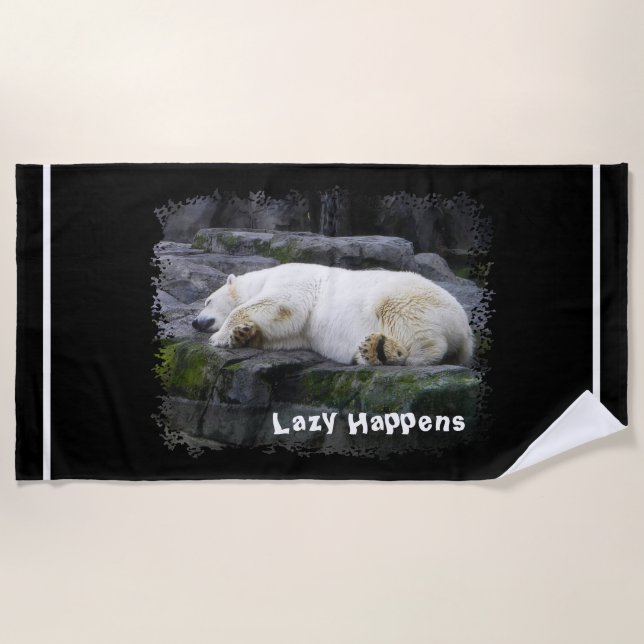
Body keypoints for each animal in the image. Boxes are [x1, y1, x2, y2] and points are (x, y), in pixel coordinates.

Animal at [192, 263, 474, 367]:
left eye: (207, 300)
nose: (195, 322)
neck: (261, 278)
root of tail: (466, 330)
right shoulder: (299, 332)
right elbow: (283, 331)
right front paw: (242, 335)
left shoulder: (293, 279)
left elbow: (281, 303)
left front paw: (220, 336)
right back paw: (372, 350)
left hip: (407, 298)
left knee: (405, 320)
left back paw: (393, 353)